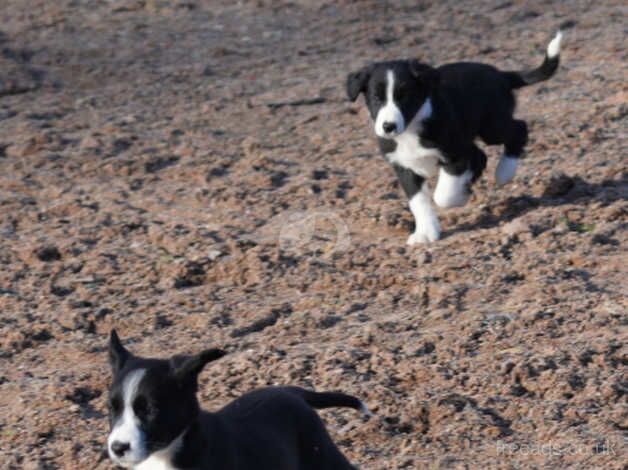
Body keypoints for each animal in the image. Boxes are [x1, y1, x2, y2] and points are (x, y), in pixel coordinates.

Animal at [105, 330, 366, 470]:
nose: (117, 448)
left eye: (150, 410)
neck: (164, 455)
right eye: (112, 409)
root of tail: (291, 391)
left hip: (323, 455)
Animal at [348, 32, 564, 246]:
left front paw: (459, 197)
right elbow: (418, 201)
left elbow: (443, 195)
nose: (388, 127)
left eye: (405, 98)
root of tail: (499, 74)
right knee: (481, 155)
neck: (411, 128)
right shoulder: (404, 165)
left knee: (519, 129)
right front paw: (425, 232)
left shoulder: (455, 154)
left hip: (491, 126)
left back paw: (504, 172)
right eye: (376, 98)